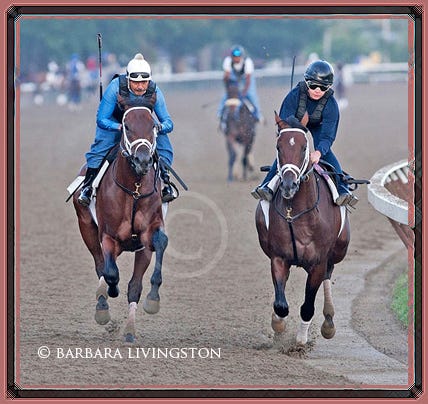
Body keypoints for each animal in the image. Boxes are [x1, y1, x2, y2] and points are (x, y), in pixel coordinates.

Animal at [73, 93, 168, 343]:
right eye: (126, 126)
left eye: (153, 126)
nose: (143, 160)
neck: (133, 189)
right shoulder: (108, 236)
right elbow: (110, 273)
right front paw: (106, 297)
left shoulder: (148, 235)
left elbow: (138, 281)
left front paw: (151, 303)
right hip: (86, 227)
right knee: (100, 266)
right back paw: (102, 305)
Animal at [255, 112, 350, 346]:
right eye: (278, 146)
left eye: (304, 146)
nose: (289, 185)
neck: (296, 213)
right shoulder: (279, 257)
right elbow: (281, 305)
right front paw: (278, 325)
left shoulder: (318, 262)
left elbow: (307, 306)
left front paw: (300, 340)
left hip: (338, 251)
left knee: (328, 274)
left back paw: (328, 322)